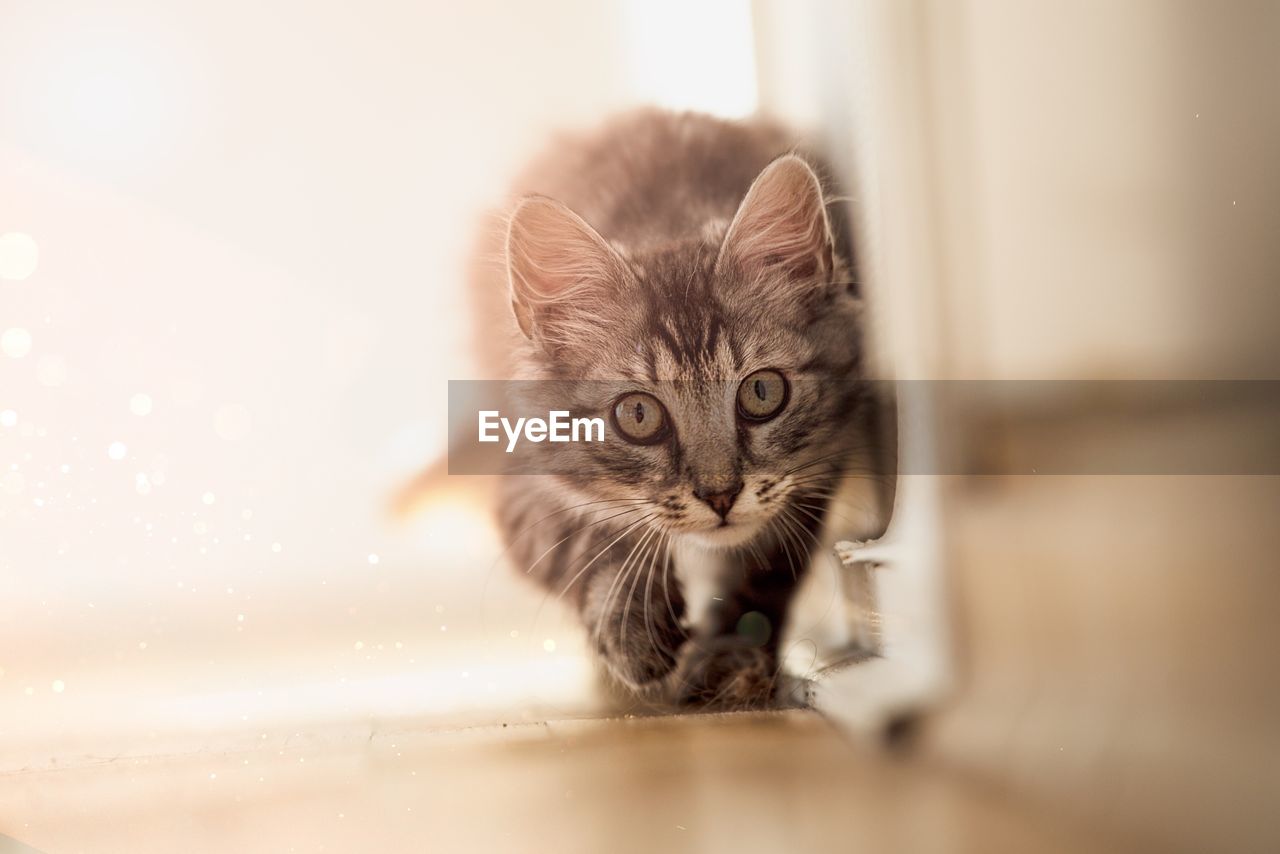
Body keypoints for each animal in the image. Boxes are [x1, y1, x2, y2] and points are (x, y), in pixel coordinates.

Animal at [481, 110, 890, 711]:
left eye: (762, 393)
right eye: (638, 416)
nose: (720, 495)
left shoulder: (816, 469)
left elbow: (767, 568)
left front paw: (732, 661)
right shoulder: (520, 470)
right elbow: (578, 541)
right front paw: (633, 629)